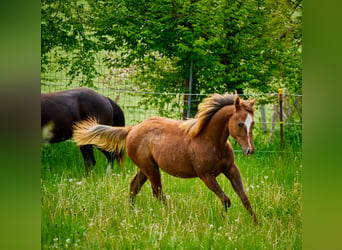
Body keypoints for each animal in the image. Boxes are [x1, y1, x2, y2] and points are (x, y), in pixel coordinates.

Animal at [73, 94, 258, 223]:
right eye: (240, 123)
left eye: (253, 123)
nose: (250, 150)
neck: (210, 140)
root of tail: (132, 129)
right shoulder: (206, 175)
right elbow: (226, 200)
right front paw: (221, 219)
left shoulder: (231, 169)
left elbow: (244, 198)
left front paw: (256, 224)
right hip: (151, 169)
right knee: (158, 194)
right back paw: (171, 216)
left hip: (145, 169)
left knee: (134, 186)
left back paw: (132, 212)